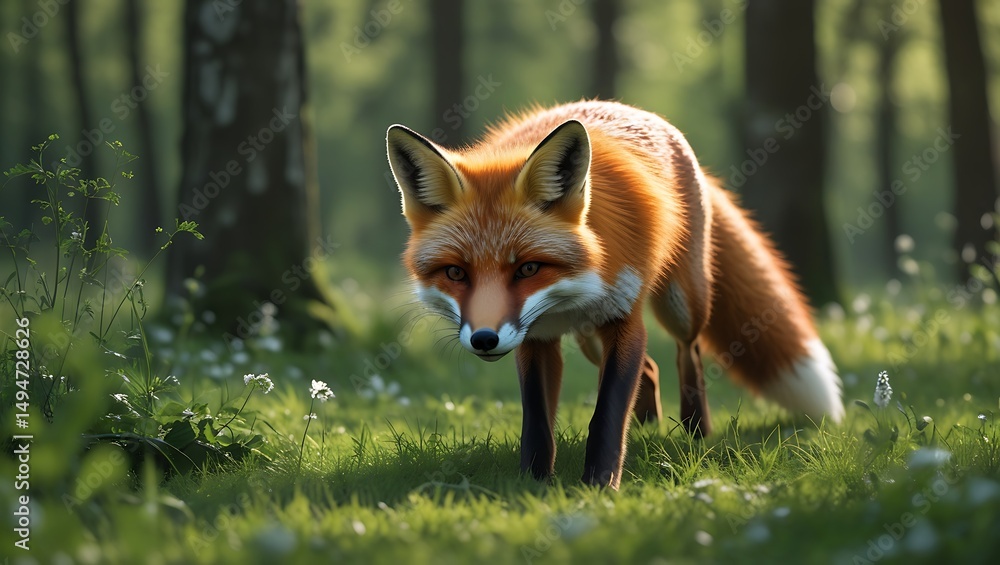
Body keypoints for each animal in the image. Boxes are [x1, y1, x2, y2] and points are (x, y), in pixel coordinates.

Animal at [386, 100, 844, 489]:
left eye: (528, 268)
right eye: (456, 272)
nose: (484, 339)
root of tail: (632, 107)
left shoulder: (625, 321)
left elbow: (607, 411)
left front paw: (599, 485)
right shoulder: (536, 338)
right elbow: (537, 419)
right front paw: (534, 483)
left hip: (681, 304)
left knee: (688, 352)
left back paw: (694, 430)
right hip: (589, 338)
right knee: (651, 370)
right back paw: (647, 425)